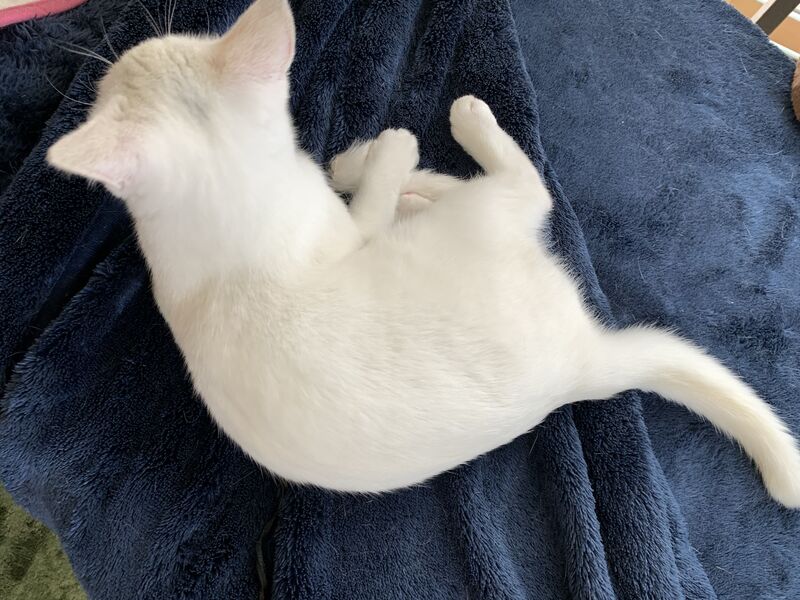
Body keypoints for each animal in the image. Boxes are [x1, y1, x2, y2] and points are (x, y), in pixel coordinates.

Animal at [47, 0, 800, 506]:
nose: (114, 58)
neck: (227, 199)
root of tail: (585, 365)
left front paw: (363, 164)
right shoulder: (346, 233)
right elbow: (371, 206)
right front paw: (390, 158)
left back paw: (392, 170)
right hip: (487, 219)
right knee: (527, 192)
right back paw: (442, 140)